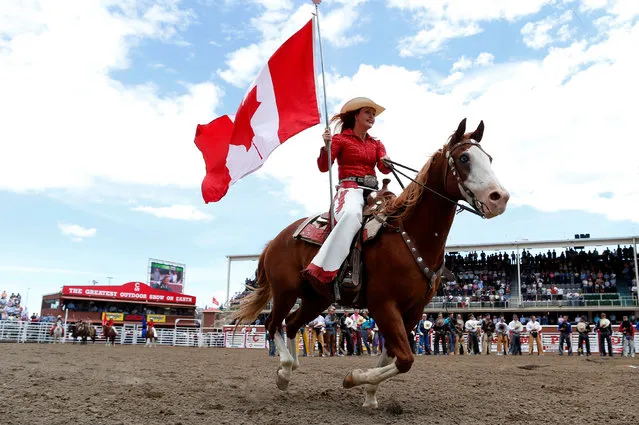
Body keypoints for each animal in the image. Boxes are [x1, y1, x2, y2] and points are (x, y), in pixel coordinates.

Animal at [232, 117, 508, 408]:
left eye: (489, 158)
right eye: (464, 158)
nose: (499, 197)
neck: (409, 236)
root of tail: (275, 241)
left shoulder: (413, 311)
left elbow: (394, 355)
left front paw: (370, 395)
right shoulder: (383, 305)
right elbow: (405, 359)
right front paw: (353, 378)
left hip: (316, 298)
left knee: (292, 323)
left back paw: (292, 368)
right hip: (285, 291)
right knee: (273, 324)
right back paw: (284, 371)